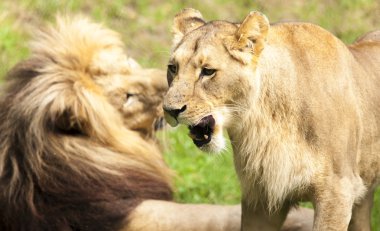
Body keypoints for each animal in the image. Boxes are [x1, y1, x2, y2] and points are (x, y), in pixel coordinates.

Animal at [164, 8, 380, 230]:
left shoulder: (337, 190)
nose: (170, 110)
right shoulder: (261, 195)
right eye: (173, 68)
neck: (266, 123)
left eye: (208, 71)